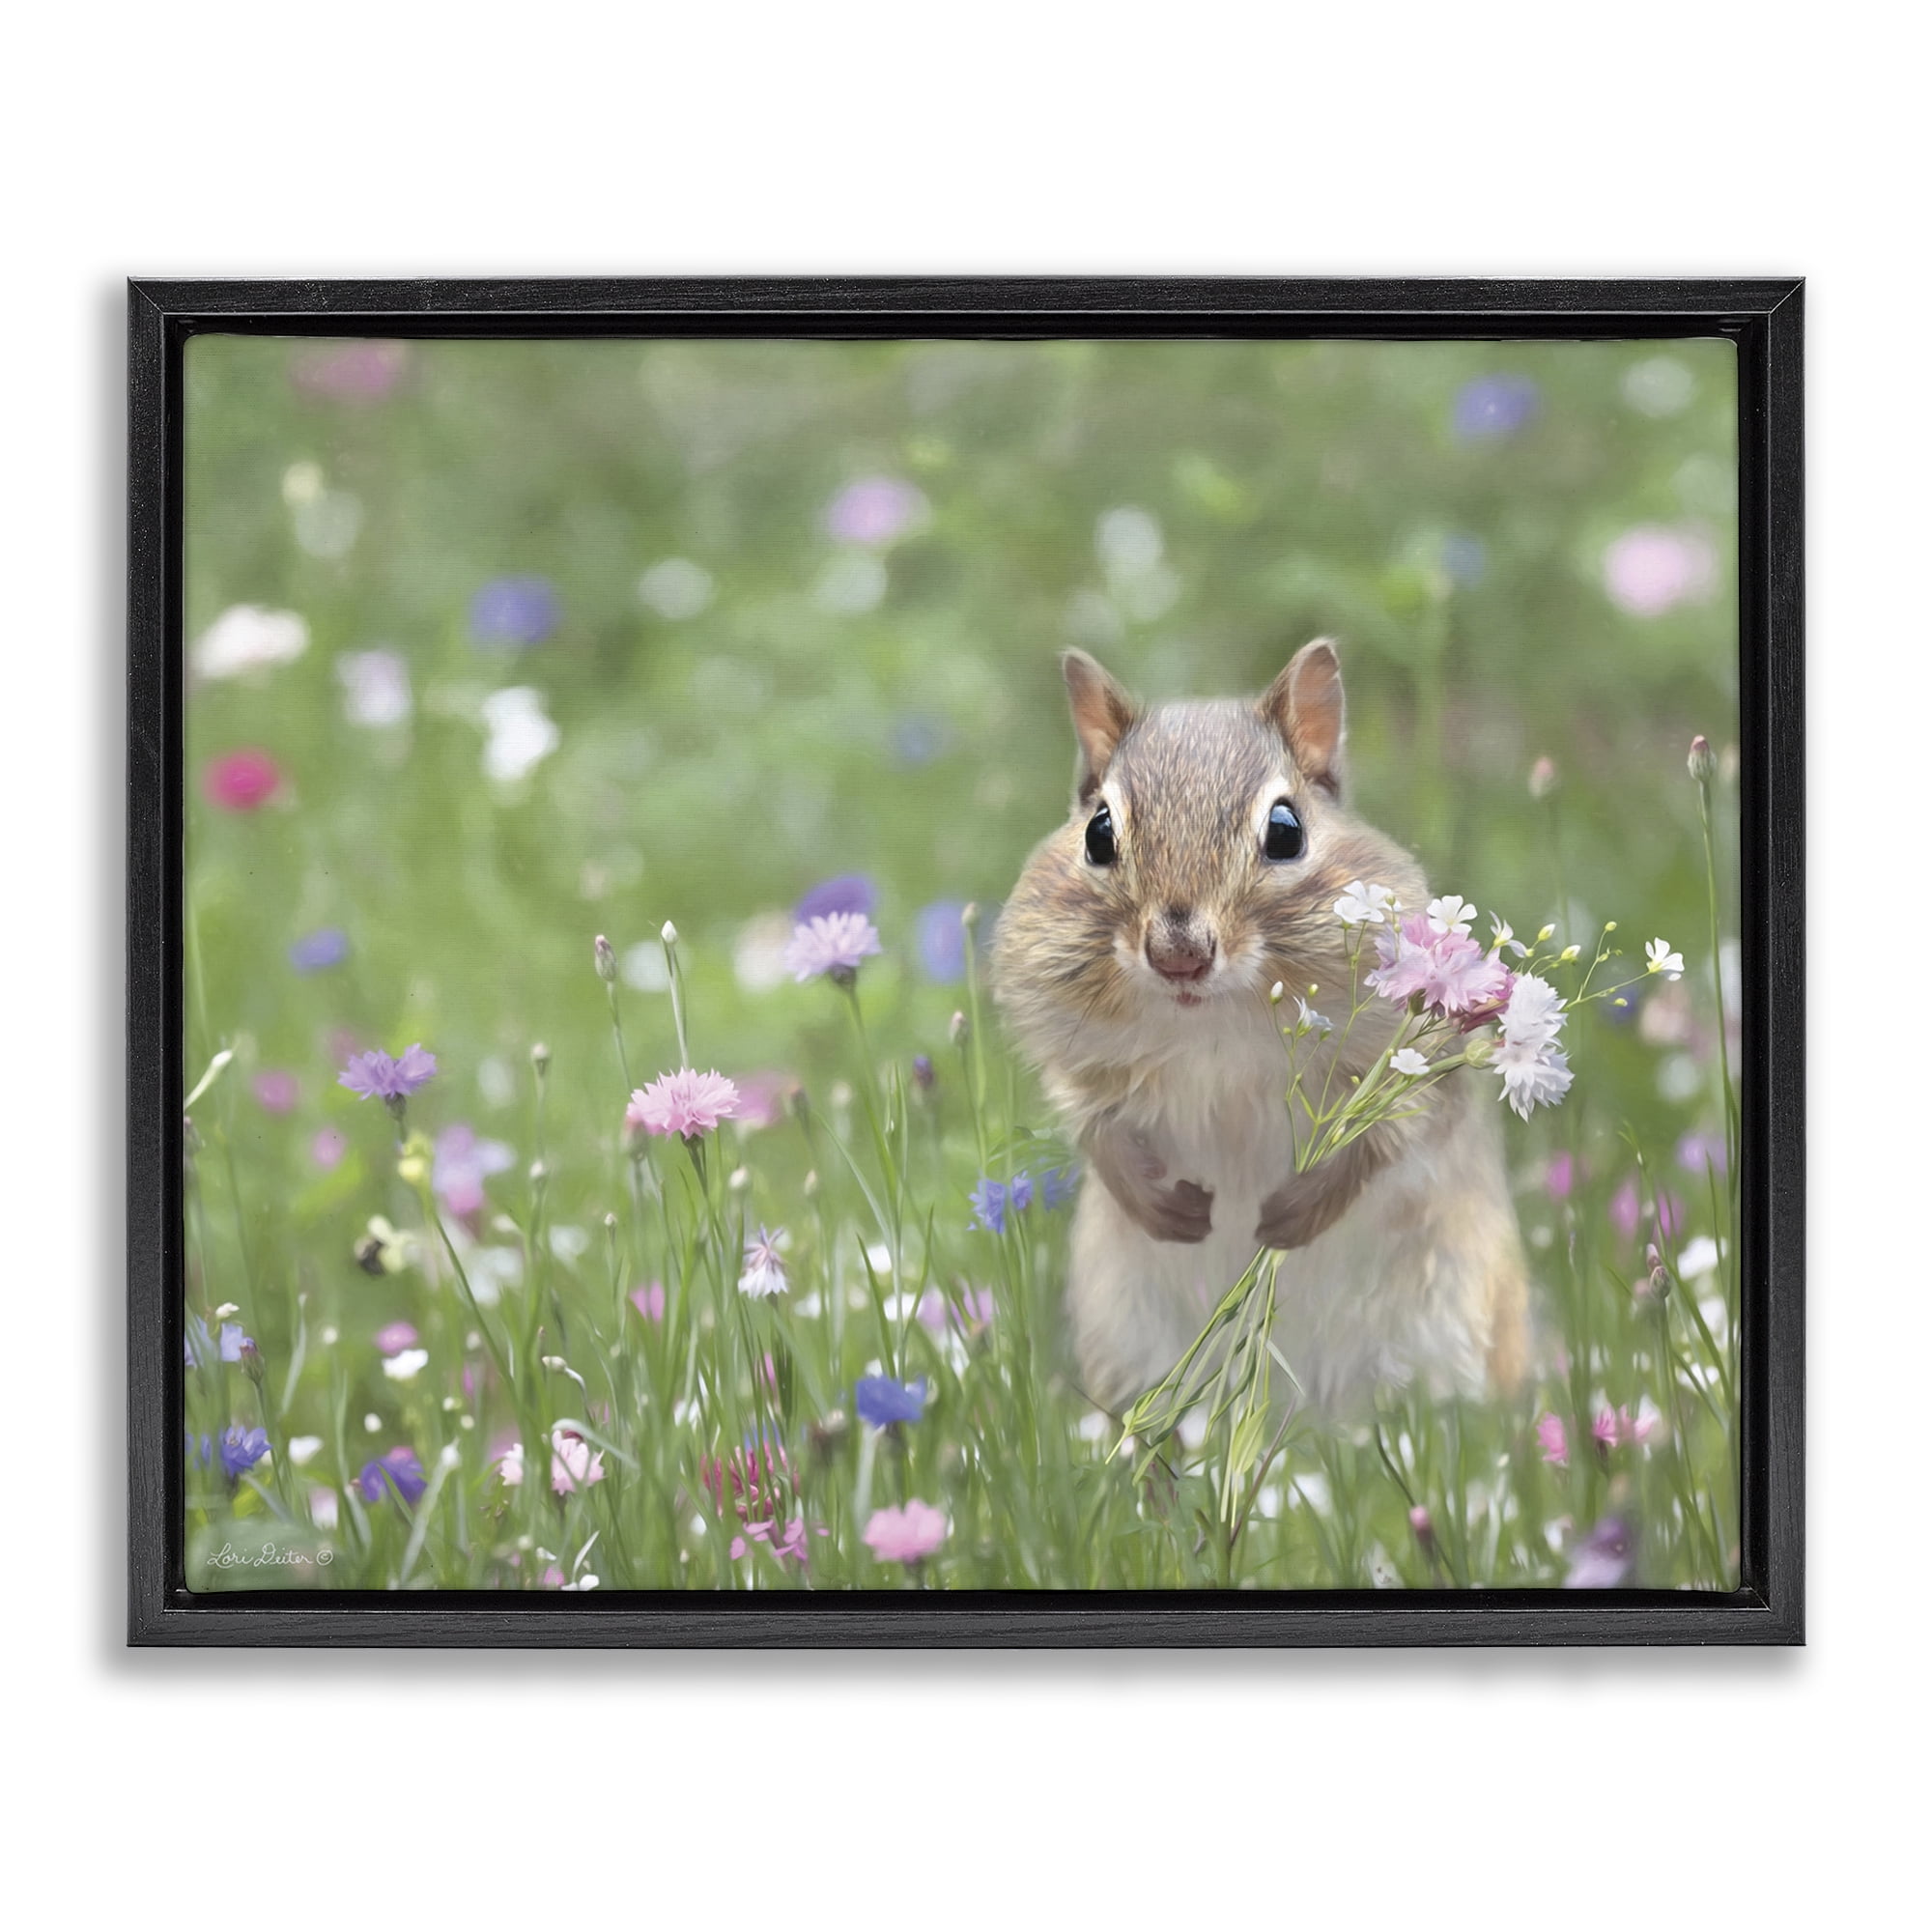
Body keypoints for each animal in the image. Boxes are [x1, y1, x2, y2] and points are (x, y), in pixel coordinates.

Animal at [991, 640, 1528, 1414]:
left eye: (1285, 831)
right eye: (1097, 833)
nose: (1178, 955)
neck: (1212, 1023)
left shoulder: (1413, 1063)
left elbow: (1388, 1139)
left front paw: (1291, 1216)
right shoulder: (1077, 1059)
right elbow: (1094, 1127)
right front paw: (1164, 1209)